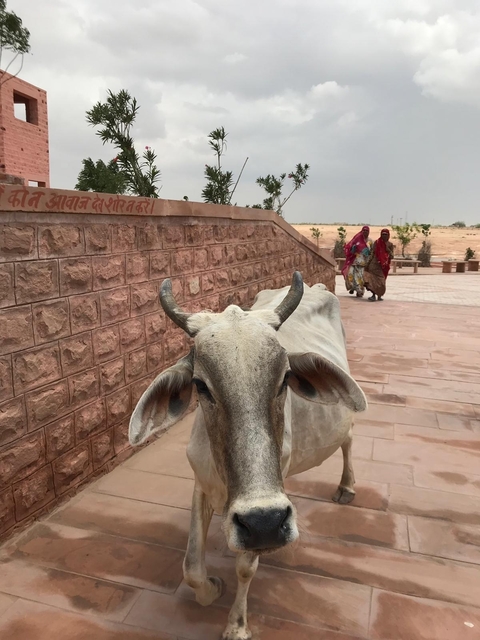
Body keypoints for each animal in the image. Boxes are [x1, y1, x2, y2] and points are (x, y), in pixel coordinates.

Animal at [129, 272, 367, 640]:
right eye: (201, 385)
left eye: (285, 378)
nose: (265, 522)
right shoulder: (203, 483)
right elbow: (191, 566)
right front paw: (212, 589)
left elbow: (245, 567)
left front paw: (237, 625)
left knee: (349, 437)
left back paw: (347, 486)